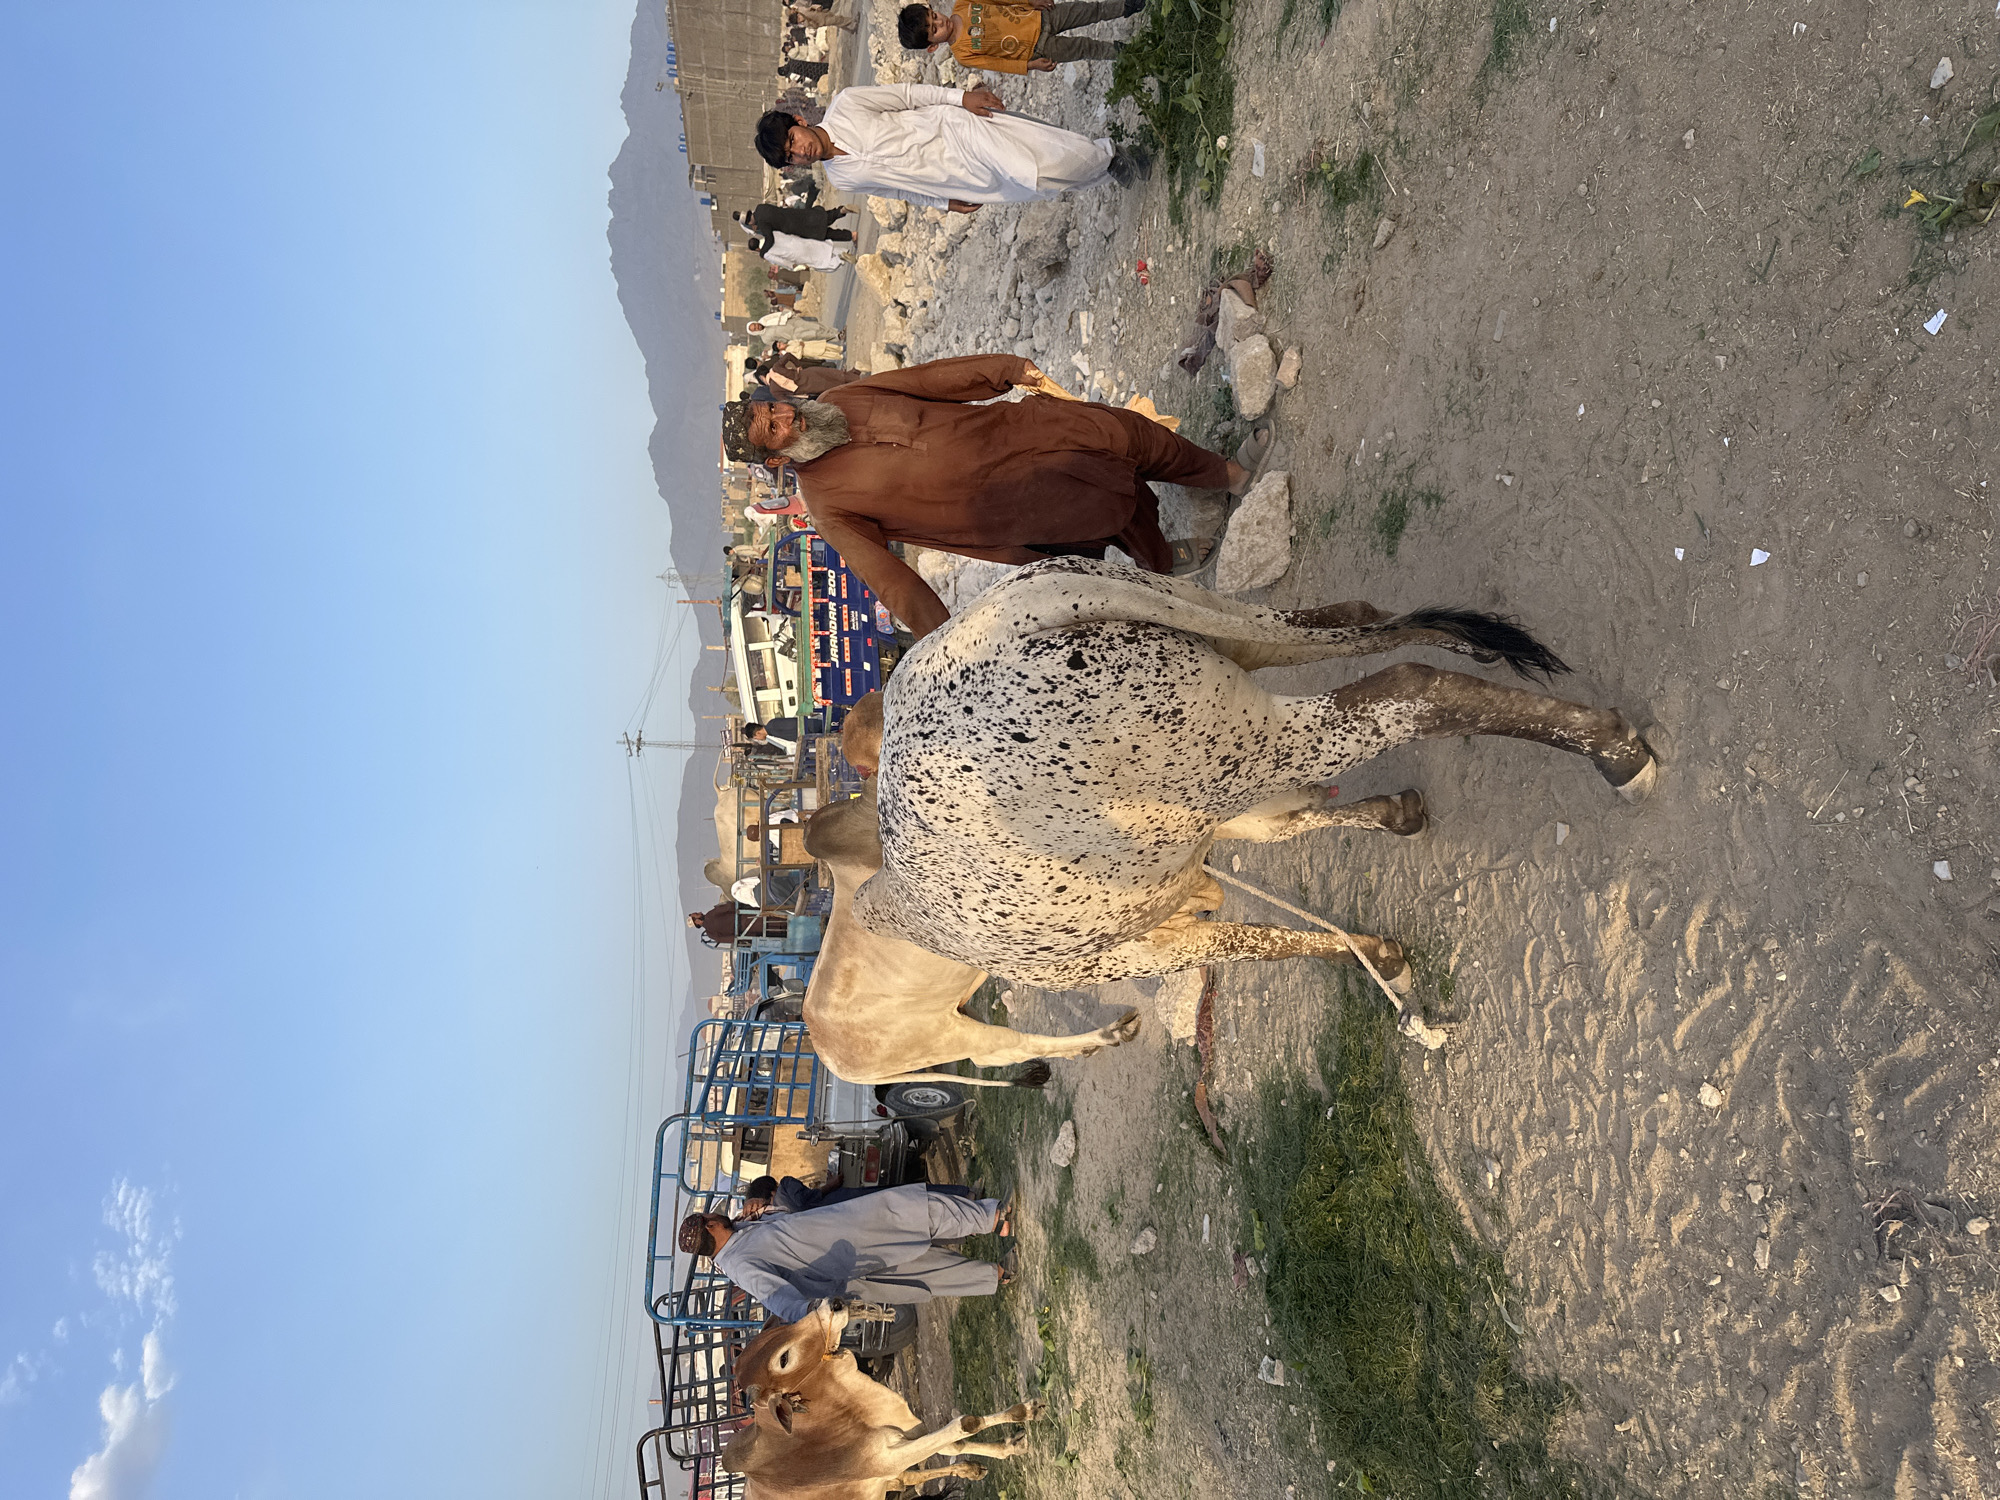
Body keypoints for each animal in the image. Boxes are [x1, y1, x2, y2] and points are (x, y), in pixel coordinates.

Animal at [722, 1299, 1042, 1497]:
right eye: (784, 1358)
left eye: (779, 1331)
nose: (834, 1303)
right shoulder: (890, 1458)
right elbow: (965, 1425)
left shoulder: (912, 1431)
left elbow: (957, 1443)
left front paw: (1018, 1427)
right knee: (909, 1478)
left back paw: (969, 1468)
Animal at [799, 557, 1659, 1086]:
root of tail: (1009, 624)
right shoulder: (1210, 825)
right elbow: (1294, 833)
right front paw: (1392, 855)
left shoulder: (1141, 946)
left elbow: (1258, 942)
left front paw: (1381, 952)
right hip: (1236, 653)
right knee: (1370, 620)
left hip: (1246, 735)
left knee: (1407, 686)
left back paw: (1617, 752)